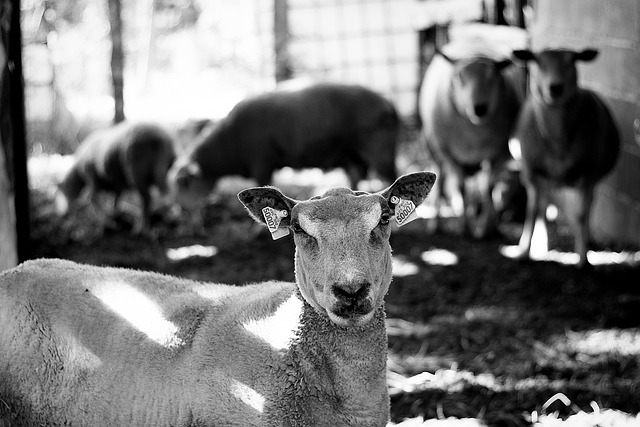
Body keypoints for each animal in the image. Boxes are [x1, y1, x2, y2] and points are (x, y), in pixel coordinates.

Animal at [418, 48, 524, 239]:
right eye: (459, 77)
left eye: (493, 77)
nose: (480, 108)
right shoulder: (450, 154)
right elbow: (460, 188)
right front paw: (464, 228)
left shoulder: (498, 153)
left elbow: (489, 188)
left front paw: (488, 229)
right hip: (436, 149)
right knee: (441, 180)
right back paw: (435, 225)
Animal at [500, 49, 620, 268]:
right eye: (537, 61)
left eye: (572, 61)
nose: (555, 88)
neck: (558, 143)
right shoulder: (532, 171)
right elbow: (532, 211)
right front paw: (523, 253)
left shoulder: (589, 174)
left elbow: (581, 215)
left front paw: (583, 260)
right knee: (541, 207)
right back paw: (538, 247)